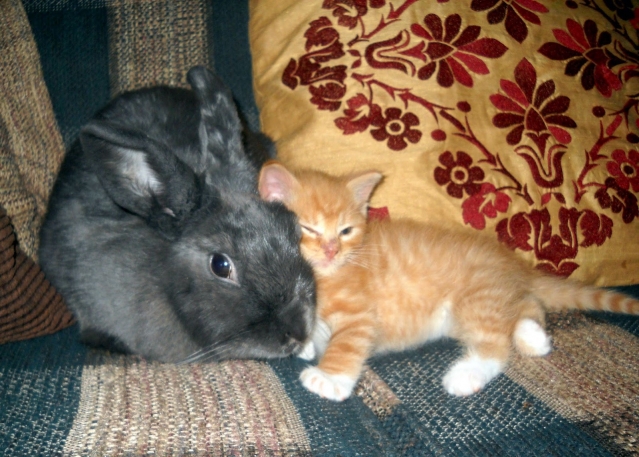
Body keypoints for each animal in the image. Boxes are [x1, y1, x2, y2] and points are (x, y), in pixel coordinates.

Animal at [258, 161, 639, 401]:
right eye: (308, 228)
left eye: (346, 231)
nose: (331, 251)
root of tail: (511, 262)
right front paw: (306, 344)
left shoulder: (360, 314)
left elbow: (347, 343)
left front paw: (329, 377)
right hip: (483, 300)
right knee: (526, 304)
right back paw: (533, 336)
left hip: (476, 296)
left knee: (495, 344)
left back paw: (468, 373)